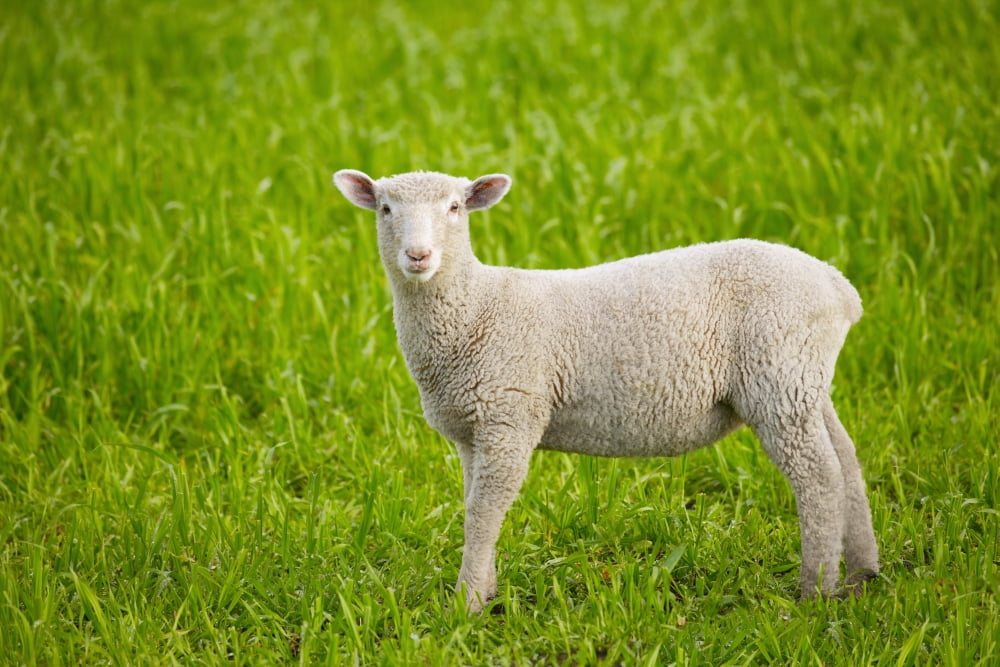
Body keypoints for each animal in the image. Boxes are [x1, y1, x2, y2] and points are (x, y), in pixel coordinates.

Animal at [332, 168, 880, 612]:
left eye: (454, 208)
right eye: (385, 209)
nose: (418, 255)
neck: (477, 307)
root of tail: (839, 288)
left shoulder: (510, 413)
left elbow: (485, 512)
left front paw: (465, 607)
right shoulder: (473, 428)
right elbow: (474, 506)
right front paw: (484, 593)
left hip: (778, 374)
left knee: (818, 477)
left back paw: (816, 592)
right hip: (804, 381)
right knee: (846, 462)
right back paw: (862, 575)